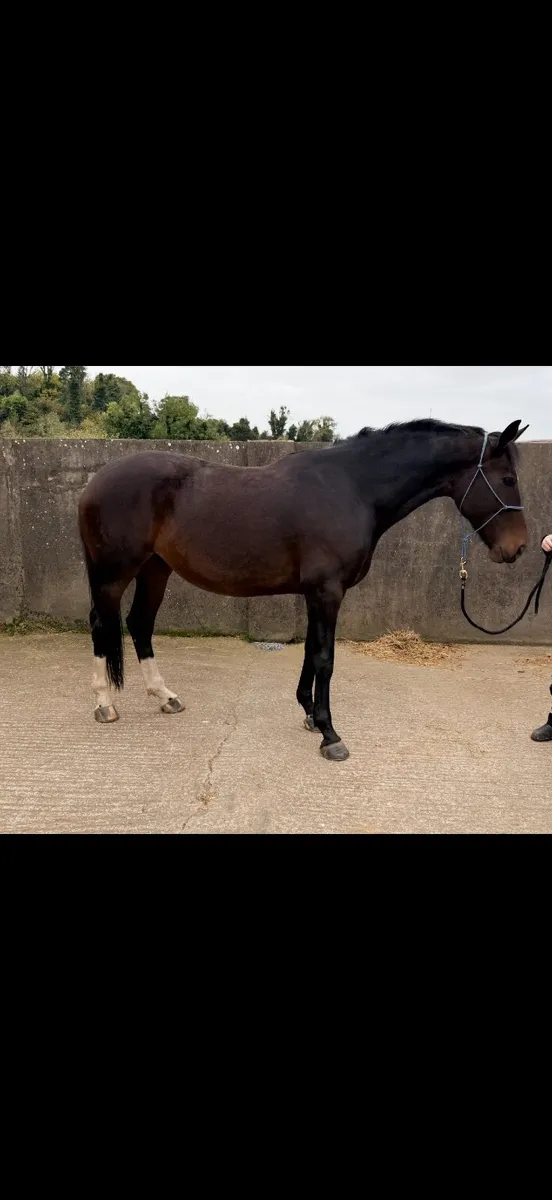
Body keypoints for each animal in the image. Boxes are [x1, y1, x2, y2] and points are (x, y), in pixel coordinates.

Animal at [78, 417, 528, 761]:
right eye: (507, 479)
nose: (519, 548)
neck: (351, 488)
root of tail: (94, 481)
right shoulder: (328, 591)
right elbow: (326, 659)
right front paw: (331, 735)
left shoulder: (317, 593)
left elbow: (312, 653)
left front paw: (311, 714)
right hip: (113, 575)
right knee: (101, 624)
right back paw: (104, 704)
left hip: (156, 570)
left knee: (139, 624)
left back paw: (165, 696)